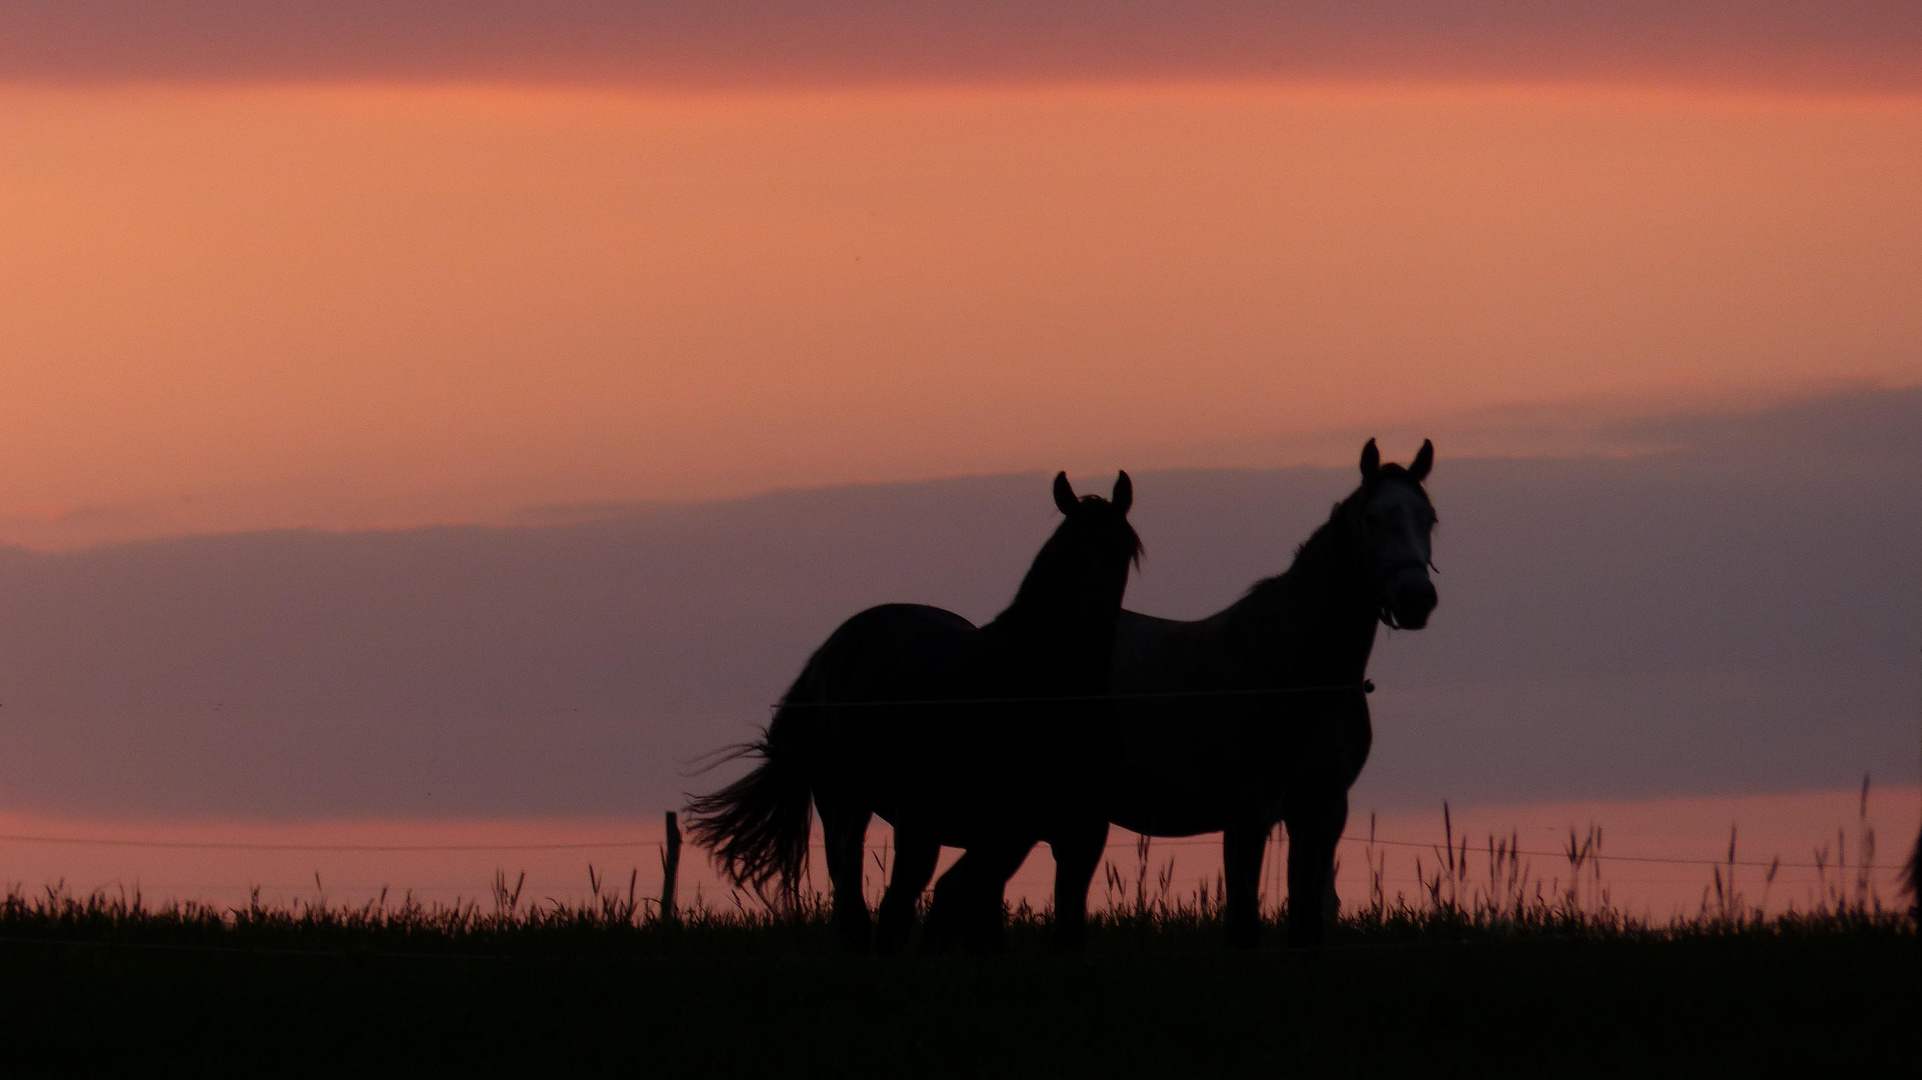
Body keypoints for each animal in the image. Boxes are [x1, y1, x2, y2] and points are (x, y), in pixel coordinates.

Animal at [688, 470, 1137, 949]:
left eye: (1124, 550)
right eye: (1068, 550)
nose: (1091, 631)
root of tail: (826, 655)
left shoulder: (1071, 840)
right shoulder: (969, 832)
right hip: (854, 809)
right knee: (868, 907)